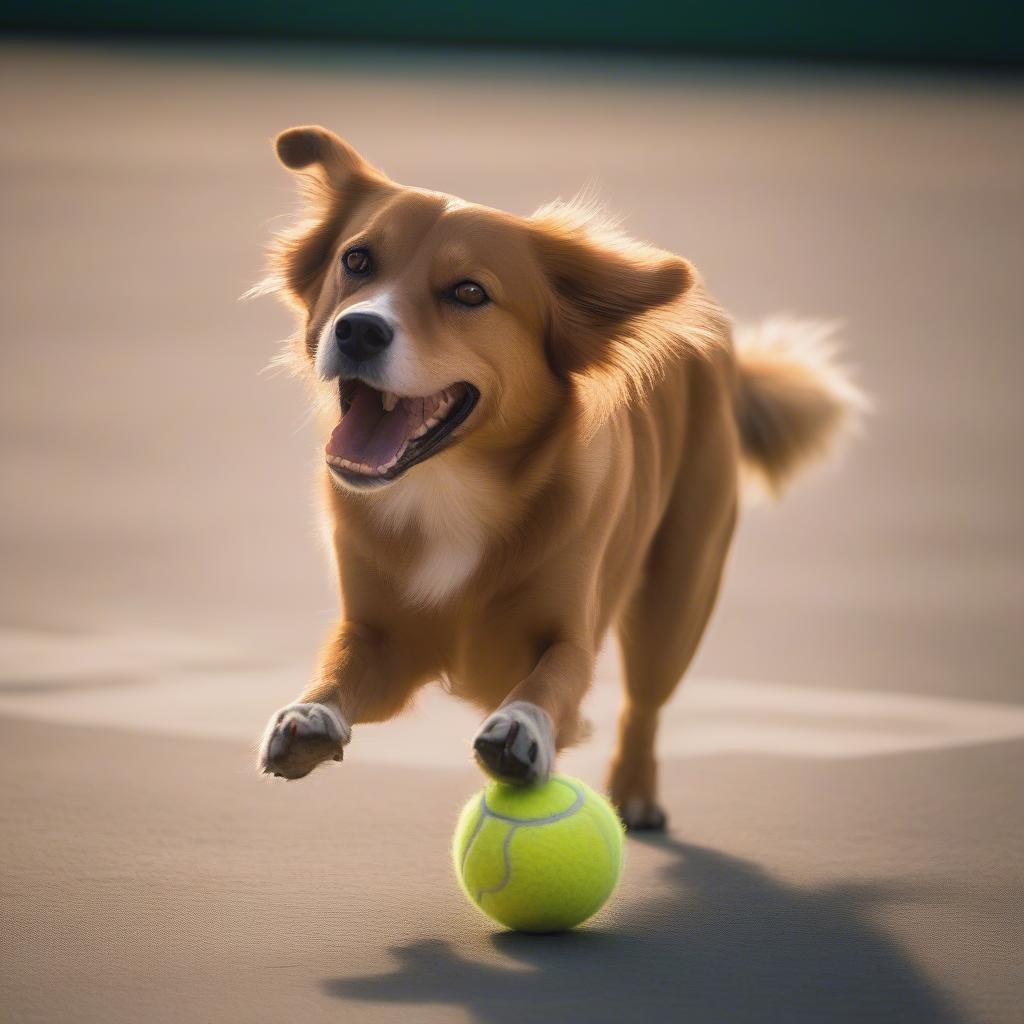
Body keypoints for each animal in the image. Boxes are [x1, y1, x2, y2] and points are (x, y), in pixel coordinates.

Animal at [256, 125, 864, 831]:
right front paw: (310, 714)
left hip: (677, 600)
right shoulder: (379, 637)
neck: (450, 488)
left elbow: (552, 682)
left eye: (469, 293)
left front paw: (522, 727)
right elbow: (338, 668)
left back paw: (634, 790)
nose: (357, 329)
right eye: (356, 261)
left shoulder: (571, 634)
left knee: (644, 703)